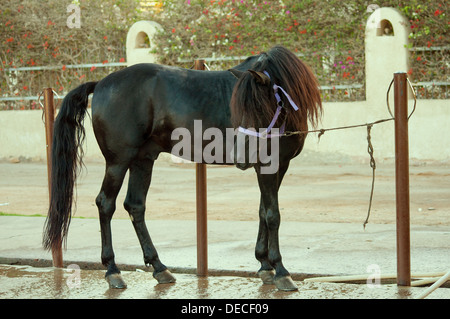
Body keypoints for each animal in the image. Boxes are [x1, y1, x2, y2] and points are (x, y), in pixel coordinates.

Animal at [43, 45, 320, 292]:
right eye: (240, 107)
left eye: (259, 107)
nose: (241, 157)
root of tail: (101, 83)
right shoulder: (267, 166)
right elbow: (272, 214)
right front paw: (281, 272)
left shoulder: (279, 165)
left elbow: (263, 210)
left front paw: (264, 266)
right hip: (118, 162)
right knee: (105, 204)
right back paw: (113, 271)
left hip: (143, 160)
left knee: (135, 205)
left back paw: (159, 268)